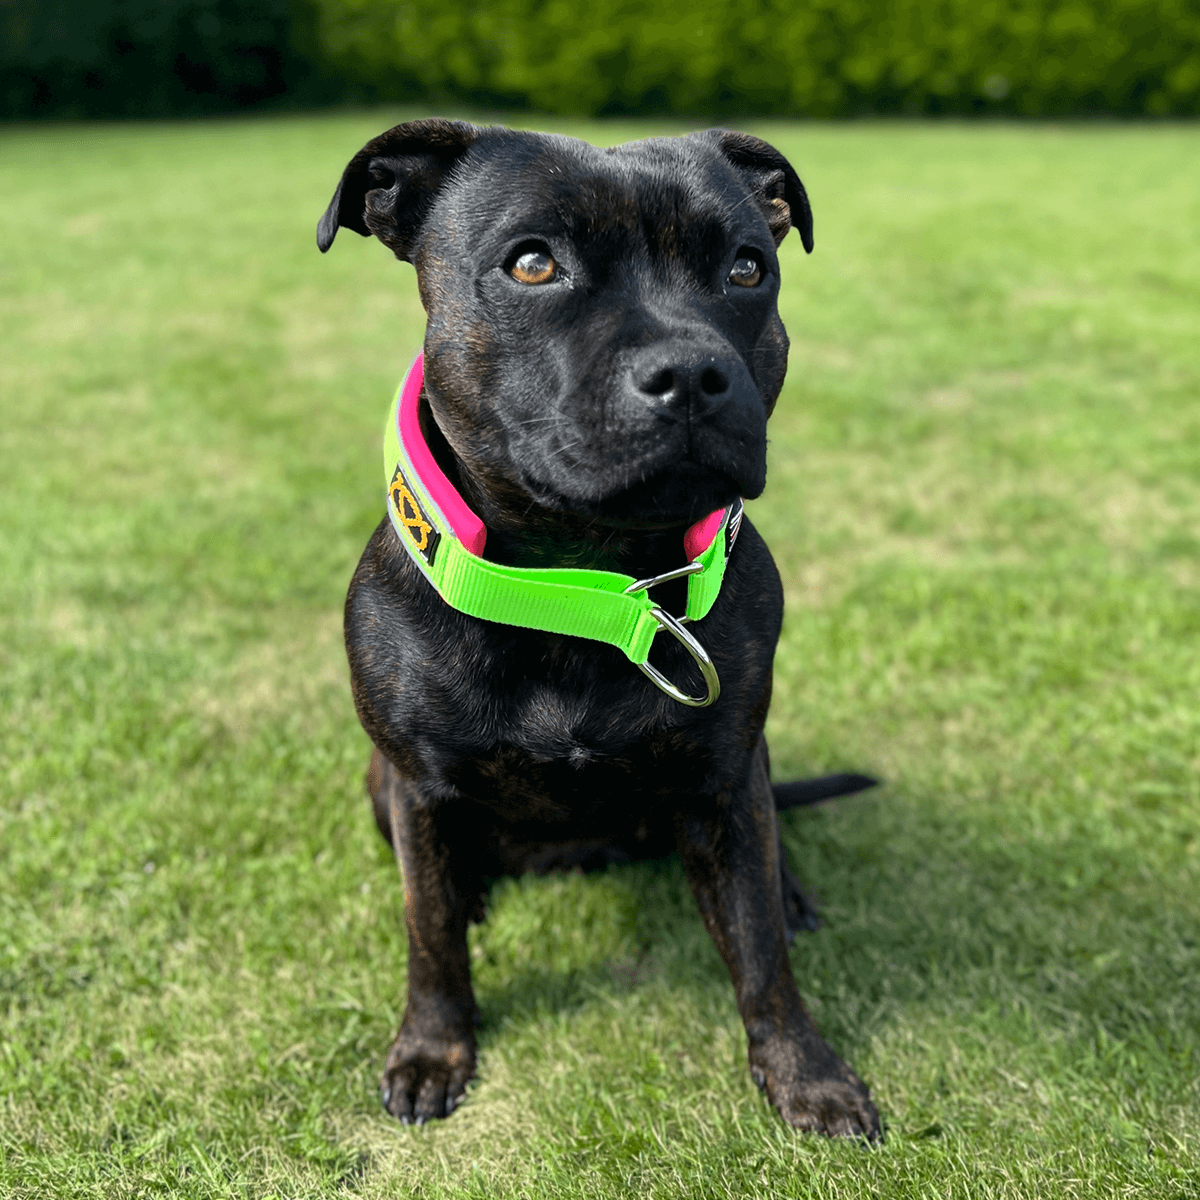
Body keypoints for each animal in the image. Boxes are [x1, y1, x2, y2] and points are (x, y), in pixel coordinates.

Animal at [319, 121, 883, 1142]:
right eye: (533, 263)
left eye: (747, 268)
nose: (692, 372)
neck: (583, 584)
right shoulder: (416, 790)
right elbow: (430, 940)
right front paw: (432, 1050)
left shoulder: (725, 780)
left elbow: (761, 952)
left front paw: (807, 1074)